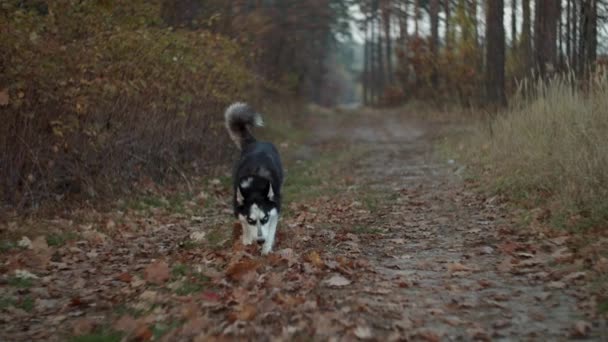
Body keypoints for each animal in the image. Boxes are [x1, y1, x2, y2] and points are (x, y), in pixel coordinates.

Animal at [224, 103, 284, 255]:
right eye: (251, 220)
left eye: (265, 218)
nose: (260, 241)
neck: (254, 186)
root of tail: (256, 142)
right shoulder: (239, 210)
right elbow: (244, 225)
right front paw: (247, 240)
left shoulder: (274, 210)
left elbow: (271, 230)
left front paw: (266, 248)